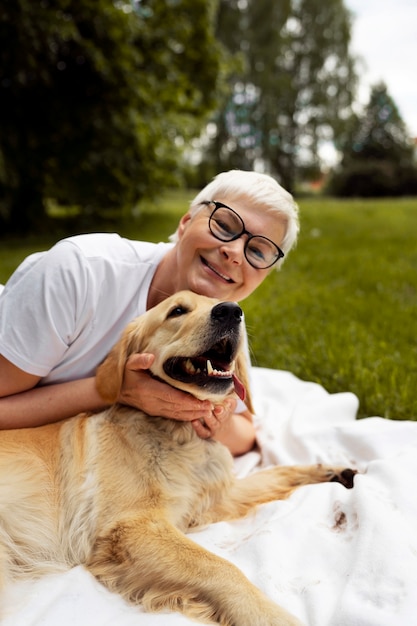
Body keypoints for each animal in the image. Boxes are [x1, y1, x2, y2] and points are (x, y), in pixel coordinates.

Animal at [0, 290, 354, 620]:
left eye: (227, 304)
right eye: (177, 311)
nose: (231, 311)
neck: (179, 434)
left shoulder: (214, 497)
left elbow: (275, 474)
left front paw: (330, 470)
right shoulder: (133, 527)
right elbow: (223, 569)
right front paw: (270, 616)